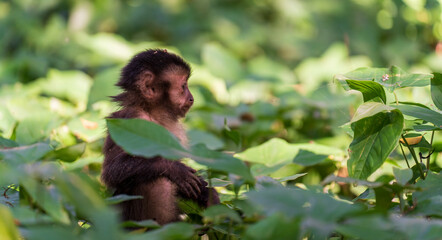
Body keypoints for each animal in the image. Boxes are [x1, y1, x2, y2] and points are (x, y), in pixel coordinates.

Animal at [99, 48, 218, 225]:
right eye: (183, 86)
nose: (192, 98)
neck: (152, 113)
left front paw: (208, 195)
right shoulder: (133, 120)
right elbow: (113, 171)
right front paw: (175, 169)